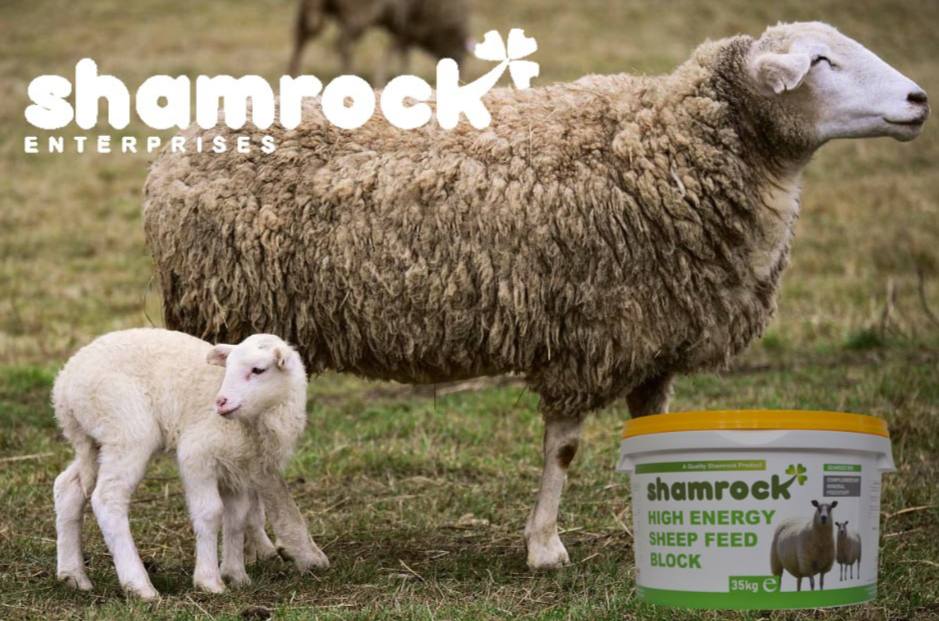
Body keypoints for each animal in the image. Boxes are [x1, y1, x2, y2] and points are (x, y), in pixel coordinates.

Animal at [52, 329, 328, 600]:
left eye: (258, 370)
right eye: (227, 367)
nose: (221, 402)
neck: (257, 421)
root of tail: (64, 386)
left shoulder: (237, 466)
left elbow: (236, 518)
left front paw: (236, 575)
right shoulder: (197, 455)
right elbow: (210, 512)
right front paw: (209, 581)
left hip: (96, 441)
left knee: (68, 486)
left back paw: (73, 576)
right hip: (126, 429)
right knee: (107, 498)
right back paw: (139, 585)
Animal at [143, 22, 929, 569]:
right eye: (820, 63)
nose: (919, 100)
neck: (671, 152)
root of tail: (176, 153)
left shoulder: (654, 344)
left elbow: (657, 443)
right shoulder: (588, 334)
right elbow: (566, 451)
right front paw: (546, 547)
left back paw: (261, 546)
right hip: (244, 311)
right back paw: (301, 549)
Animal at [288, 0, 470, 83]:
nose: (459, 79)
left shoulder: (404, 28)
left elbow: (400, 52)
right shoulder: (407, 25)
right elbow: (396, 51)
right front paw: (383, 79)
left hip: (314, 7)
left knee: (301, 35)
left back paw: (293, 73)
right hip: (358, 13)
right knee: (343, 44)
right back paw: (349, 75)